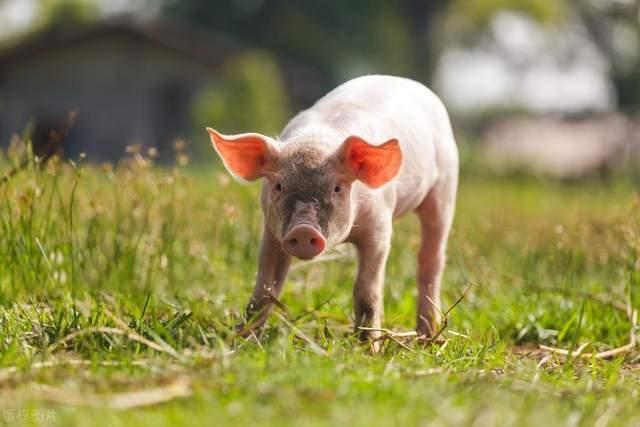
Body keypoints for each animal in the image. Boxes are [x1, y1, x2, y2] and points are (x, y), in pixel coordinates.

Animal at [208, 75, 458, 342]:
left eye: (337, 188)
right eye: (279, 186)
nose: (303, 230)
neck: (316, 141)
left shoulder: (379, 224)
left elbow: (366, 292)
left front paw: (368, 348)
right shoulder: (271, 229)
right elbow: (265, 288)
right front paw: (243, 340)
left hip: (445, 187)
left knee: (432, 258)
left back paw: (428, 338)